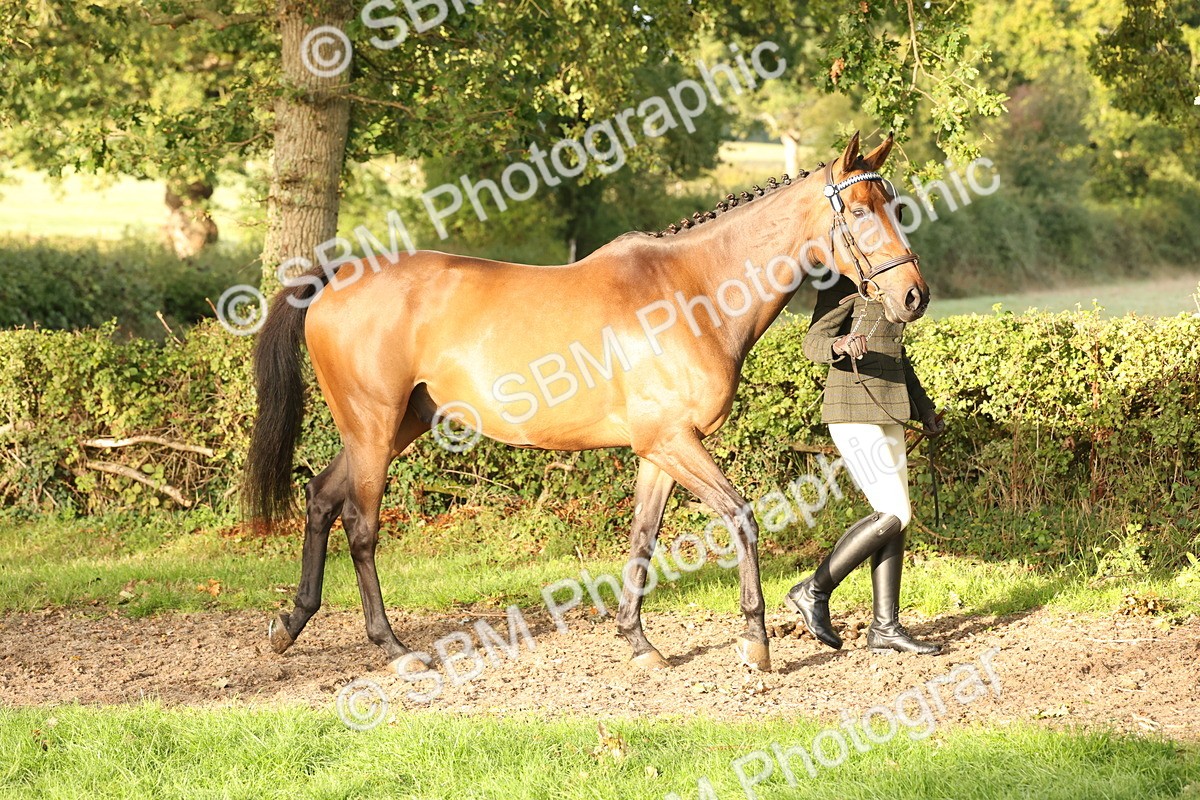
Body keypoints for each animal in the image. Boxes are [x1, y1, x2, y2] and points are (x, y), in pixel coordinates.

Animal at [245, 131, 928, 674]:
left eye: (892, 205)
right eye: (860, 211)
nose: (914, 296)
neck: (693, 292)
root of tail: (333, 278)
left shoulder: (659, 451)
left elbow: (643, 539)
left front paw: (639, 642)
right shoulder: (674, 443)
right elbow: (740, 518)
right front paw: (755, 642)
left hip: (393, 427)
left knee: (321, 498)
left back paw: (290, 624)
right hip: (374, 428)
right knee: (359, 525)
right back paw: (390, 645)